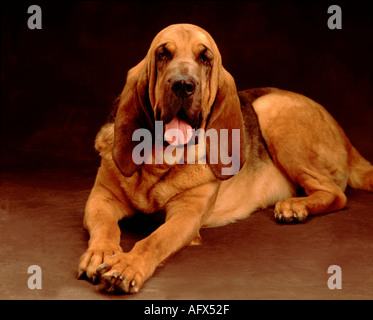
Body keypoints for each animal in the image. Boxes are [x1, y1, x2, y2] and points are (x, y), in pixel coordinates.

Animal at [77, 23, 370, 294]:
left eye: (205, 59)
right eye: (163, 54)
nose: (183, 85)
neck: (159, 161)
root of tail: (345, 137)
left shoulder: (187, 214)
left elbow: (154, 240)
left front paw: (128, 264)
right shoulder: (101, 198)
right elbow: (105, 227)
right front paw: (101, 253)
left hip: (271, 109)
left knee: (336, 194)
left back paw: (295, 206)